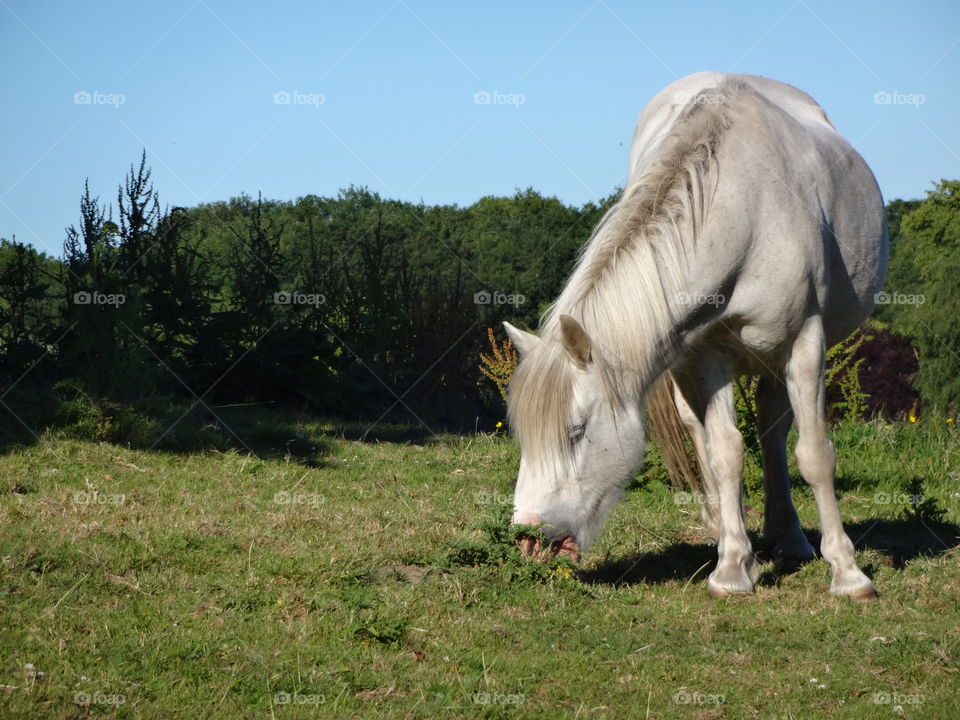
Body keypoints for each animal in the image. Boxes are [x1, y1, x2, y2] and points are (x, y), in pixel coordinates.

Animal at [506, 71, 888, 600]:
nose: (527, 537)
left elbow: (813, 454)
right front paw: (731, 569)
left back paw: (789, 538)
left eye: (576, 431)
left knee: (773, 430)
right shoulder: (708, 355)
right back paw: (733, 536)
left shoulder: (804, 342)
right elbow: (725, 452)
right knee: (709, 435)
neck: (743, 211)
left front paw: (849, 574)